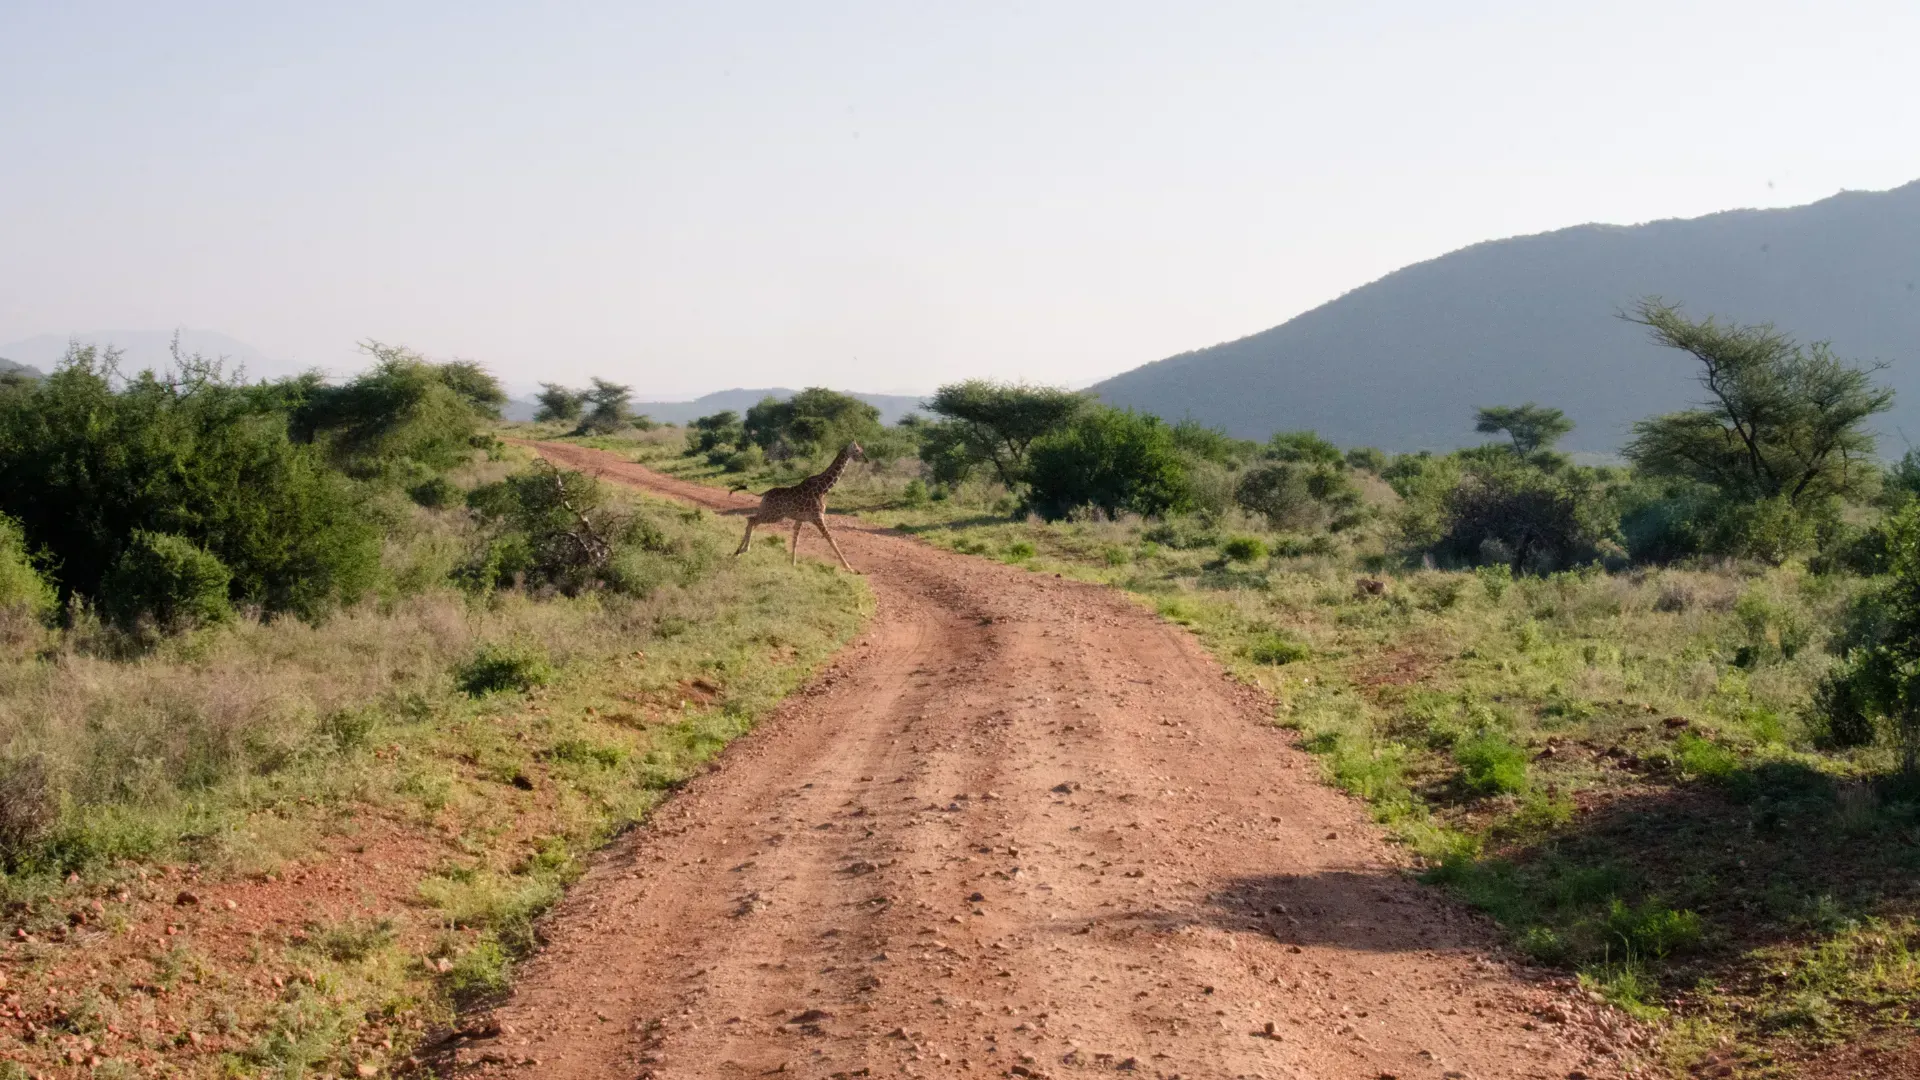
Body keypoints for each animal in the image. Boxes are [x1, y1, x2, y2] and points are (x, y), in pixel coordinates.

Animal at [732, 442, 866, 571]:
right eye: (857, 450)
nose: (866, 460)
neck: (823, 489)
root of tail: (764, 493)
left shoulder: (800, 519)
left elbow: (795, 540)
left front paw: (793, 563)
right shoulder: (818, 517)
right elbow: (831, 539)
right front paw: (849, 568)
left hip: (766, 511)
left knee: (752, 521)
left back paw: (737, 551)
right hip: (775, 515)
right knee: (752, 520)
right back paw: (744, 549)